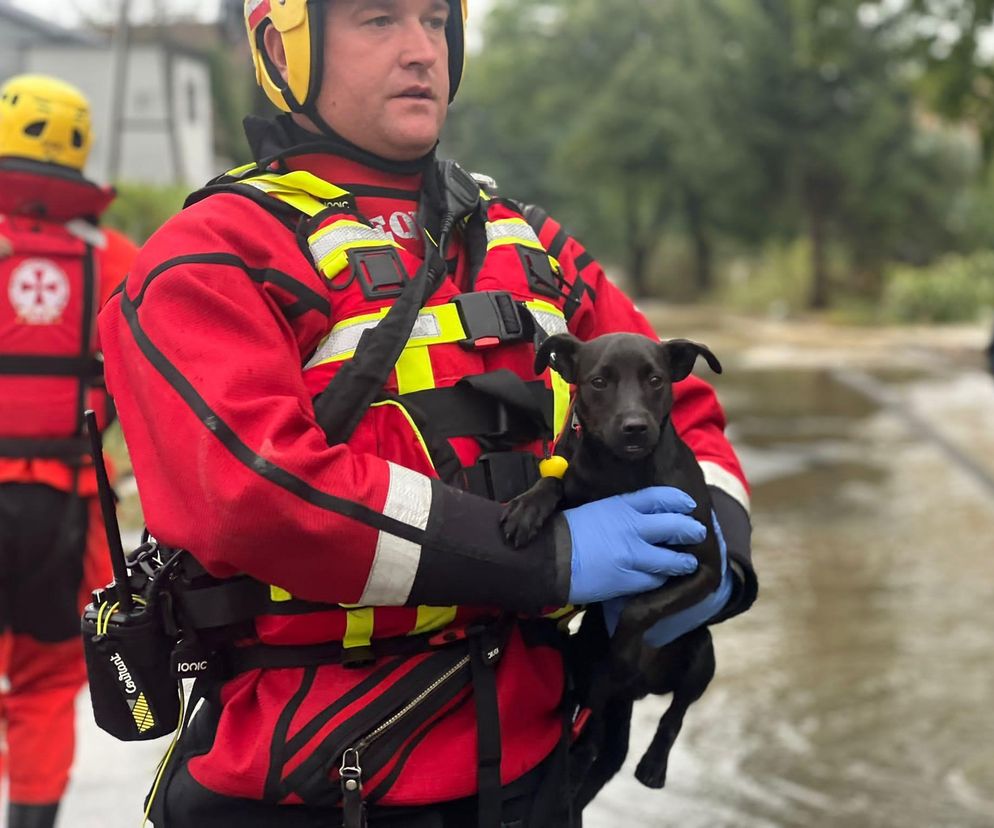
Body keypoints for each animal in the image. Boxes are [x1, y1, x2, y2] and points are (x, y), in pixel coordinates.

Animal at [504, 330, 720, 796]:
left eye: (656, 380)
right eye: (599, 382)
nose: (635, 426)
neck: (620, 473)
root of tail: (642, 691)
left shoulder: (708, 571)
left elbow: (639, 607)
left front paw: (622, 648)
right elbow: (554, 483)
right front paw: (528, 506)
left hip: (702, 655)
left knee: (673, 715)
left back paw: (653, 764)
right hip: (580, 665)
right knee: (593, 718)